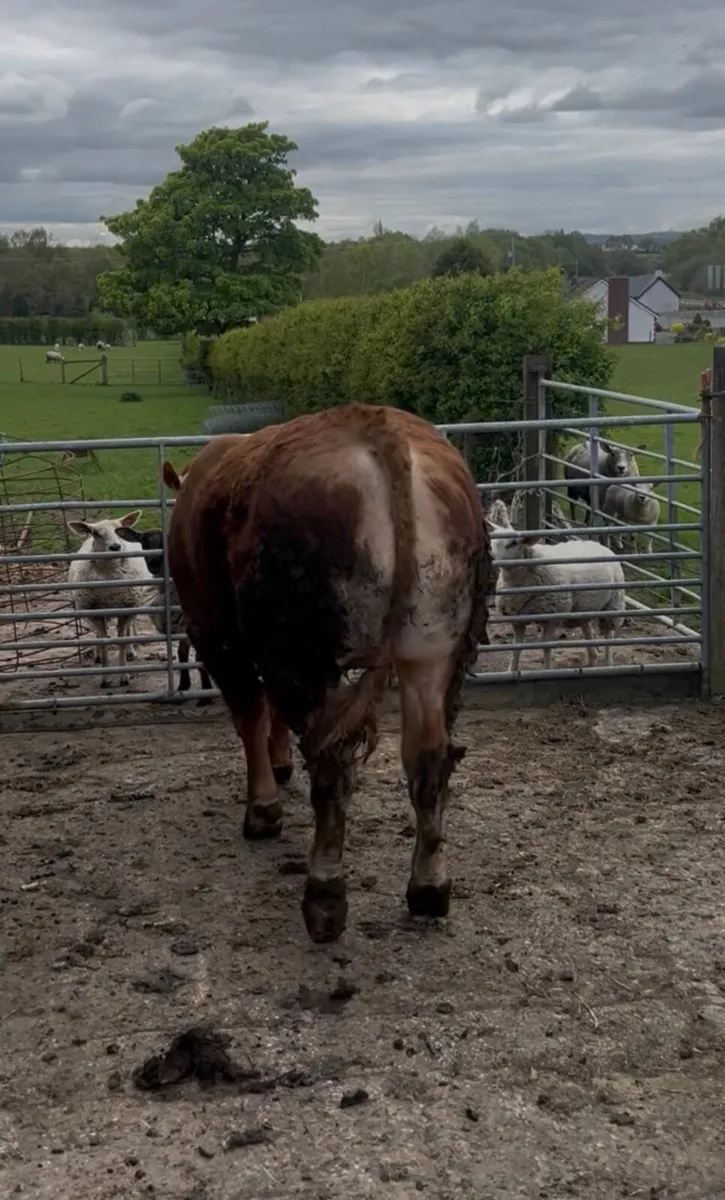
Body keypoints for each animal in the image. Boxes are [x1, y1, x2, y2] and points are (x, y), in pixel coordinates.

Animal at [166, 404, 489, 944]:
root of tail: (381, 430)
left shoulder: (215, 634)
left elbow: (251, 716)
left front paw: (264, 808)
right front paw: (279, 766)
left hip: (303, 654)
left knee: (332, 765)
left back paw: (324, 896)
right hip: (432, 650)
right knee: (428, 760)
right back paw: (428, 888)